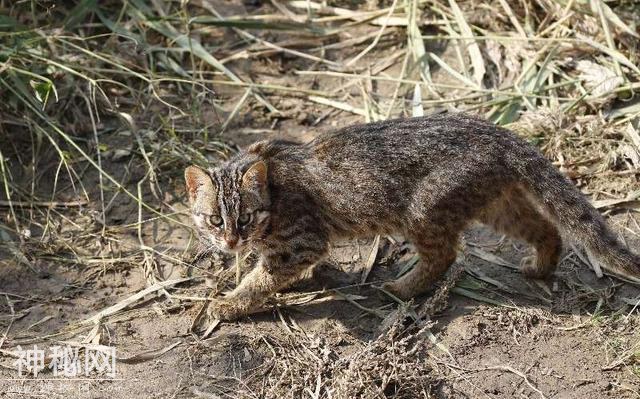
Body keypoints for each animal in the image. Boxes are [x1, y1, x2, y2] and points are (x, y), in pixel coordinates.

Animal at [185, 113, 640, 322]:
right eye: (214, 220)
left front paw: (228, 304)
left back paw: (403, 288)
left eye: (244, 219)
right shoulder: (301, 246)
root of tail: (494, 130)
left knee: (445, 256)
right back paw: (539, 267)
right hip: (496, 204)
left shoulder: (302, 241)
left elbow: (259, 280)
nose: (230, 242)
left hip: (422, 212)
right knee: (547, 228)